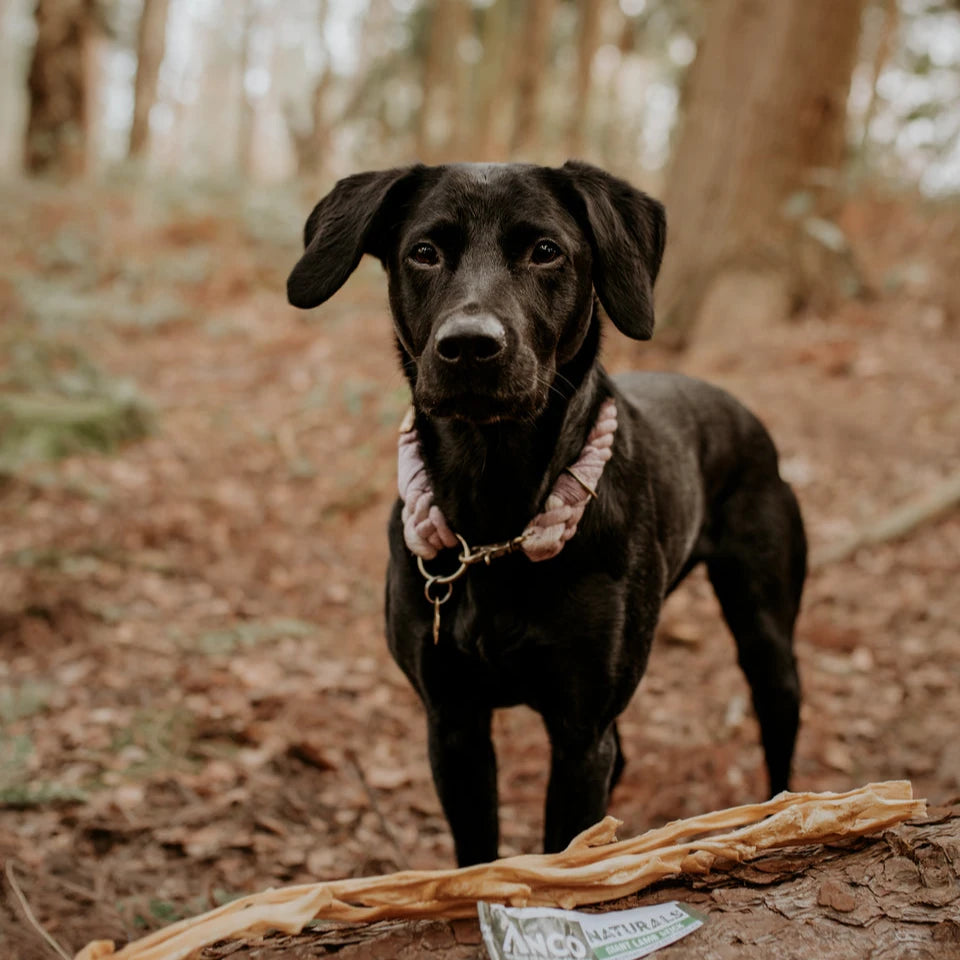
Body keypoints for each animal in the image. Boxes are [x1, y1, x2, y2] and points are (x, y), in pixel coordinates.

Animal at [288, 161, 808, 868]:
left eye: (545, 251)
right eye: (423, 252)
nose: (469, 346)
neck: (493, 510)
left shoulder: (579, 728)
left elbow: (566, 852)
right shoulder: (454, 723)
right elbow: (478, 854)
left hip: (765, 635)